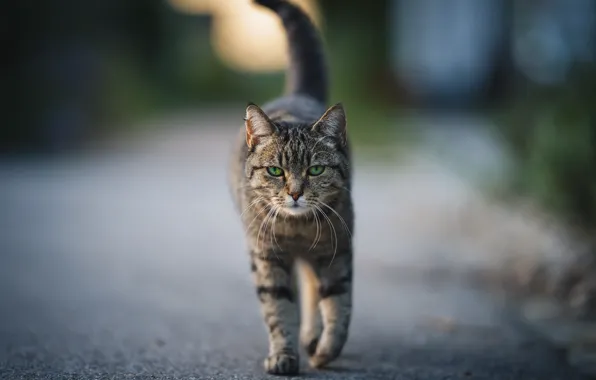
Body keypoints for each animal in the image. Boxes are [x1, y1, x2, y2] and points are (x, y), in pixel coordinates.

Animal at [227, 0, 350, 374]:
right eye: (275, 171)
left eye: (316, 169)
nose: (295, 193)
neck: (297, 229)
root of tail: (299, 93)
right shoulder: (267, 255)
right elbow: (279, 308)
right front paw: (284, 354)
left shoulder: (337, 250)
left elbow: (339, 305)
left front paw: (325, 350)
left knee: (312, 290)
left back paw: (312, 336)